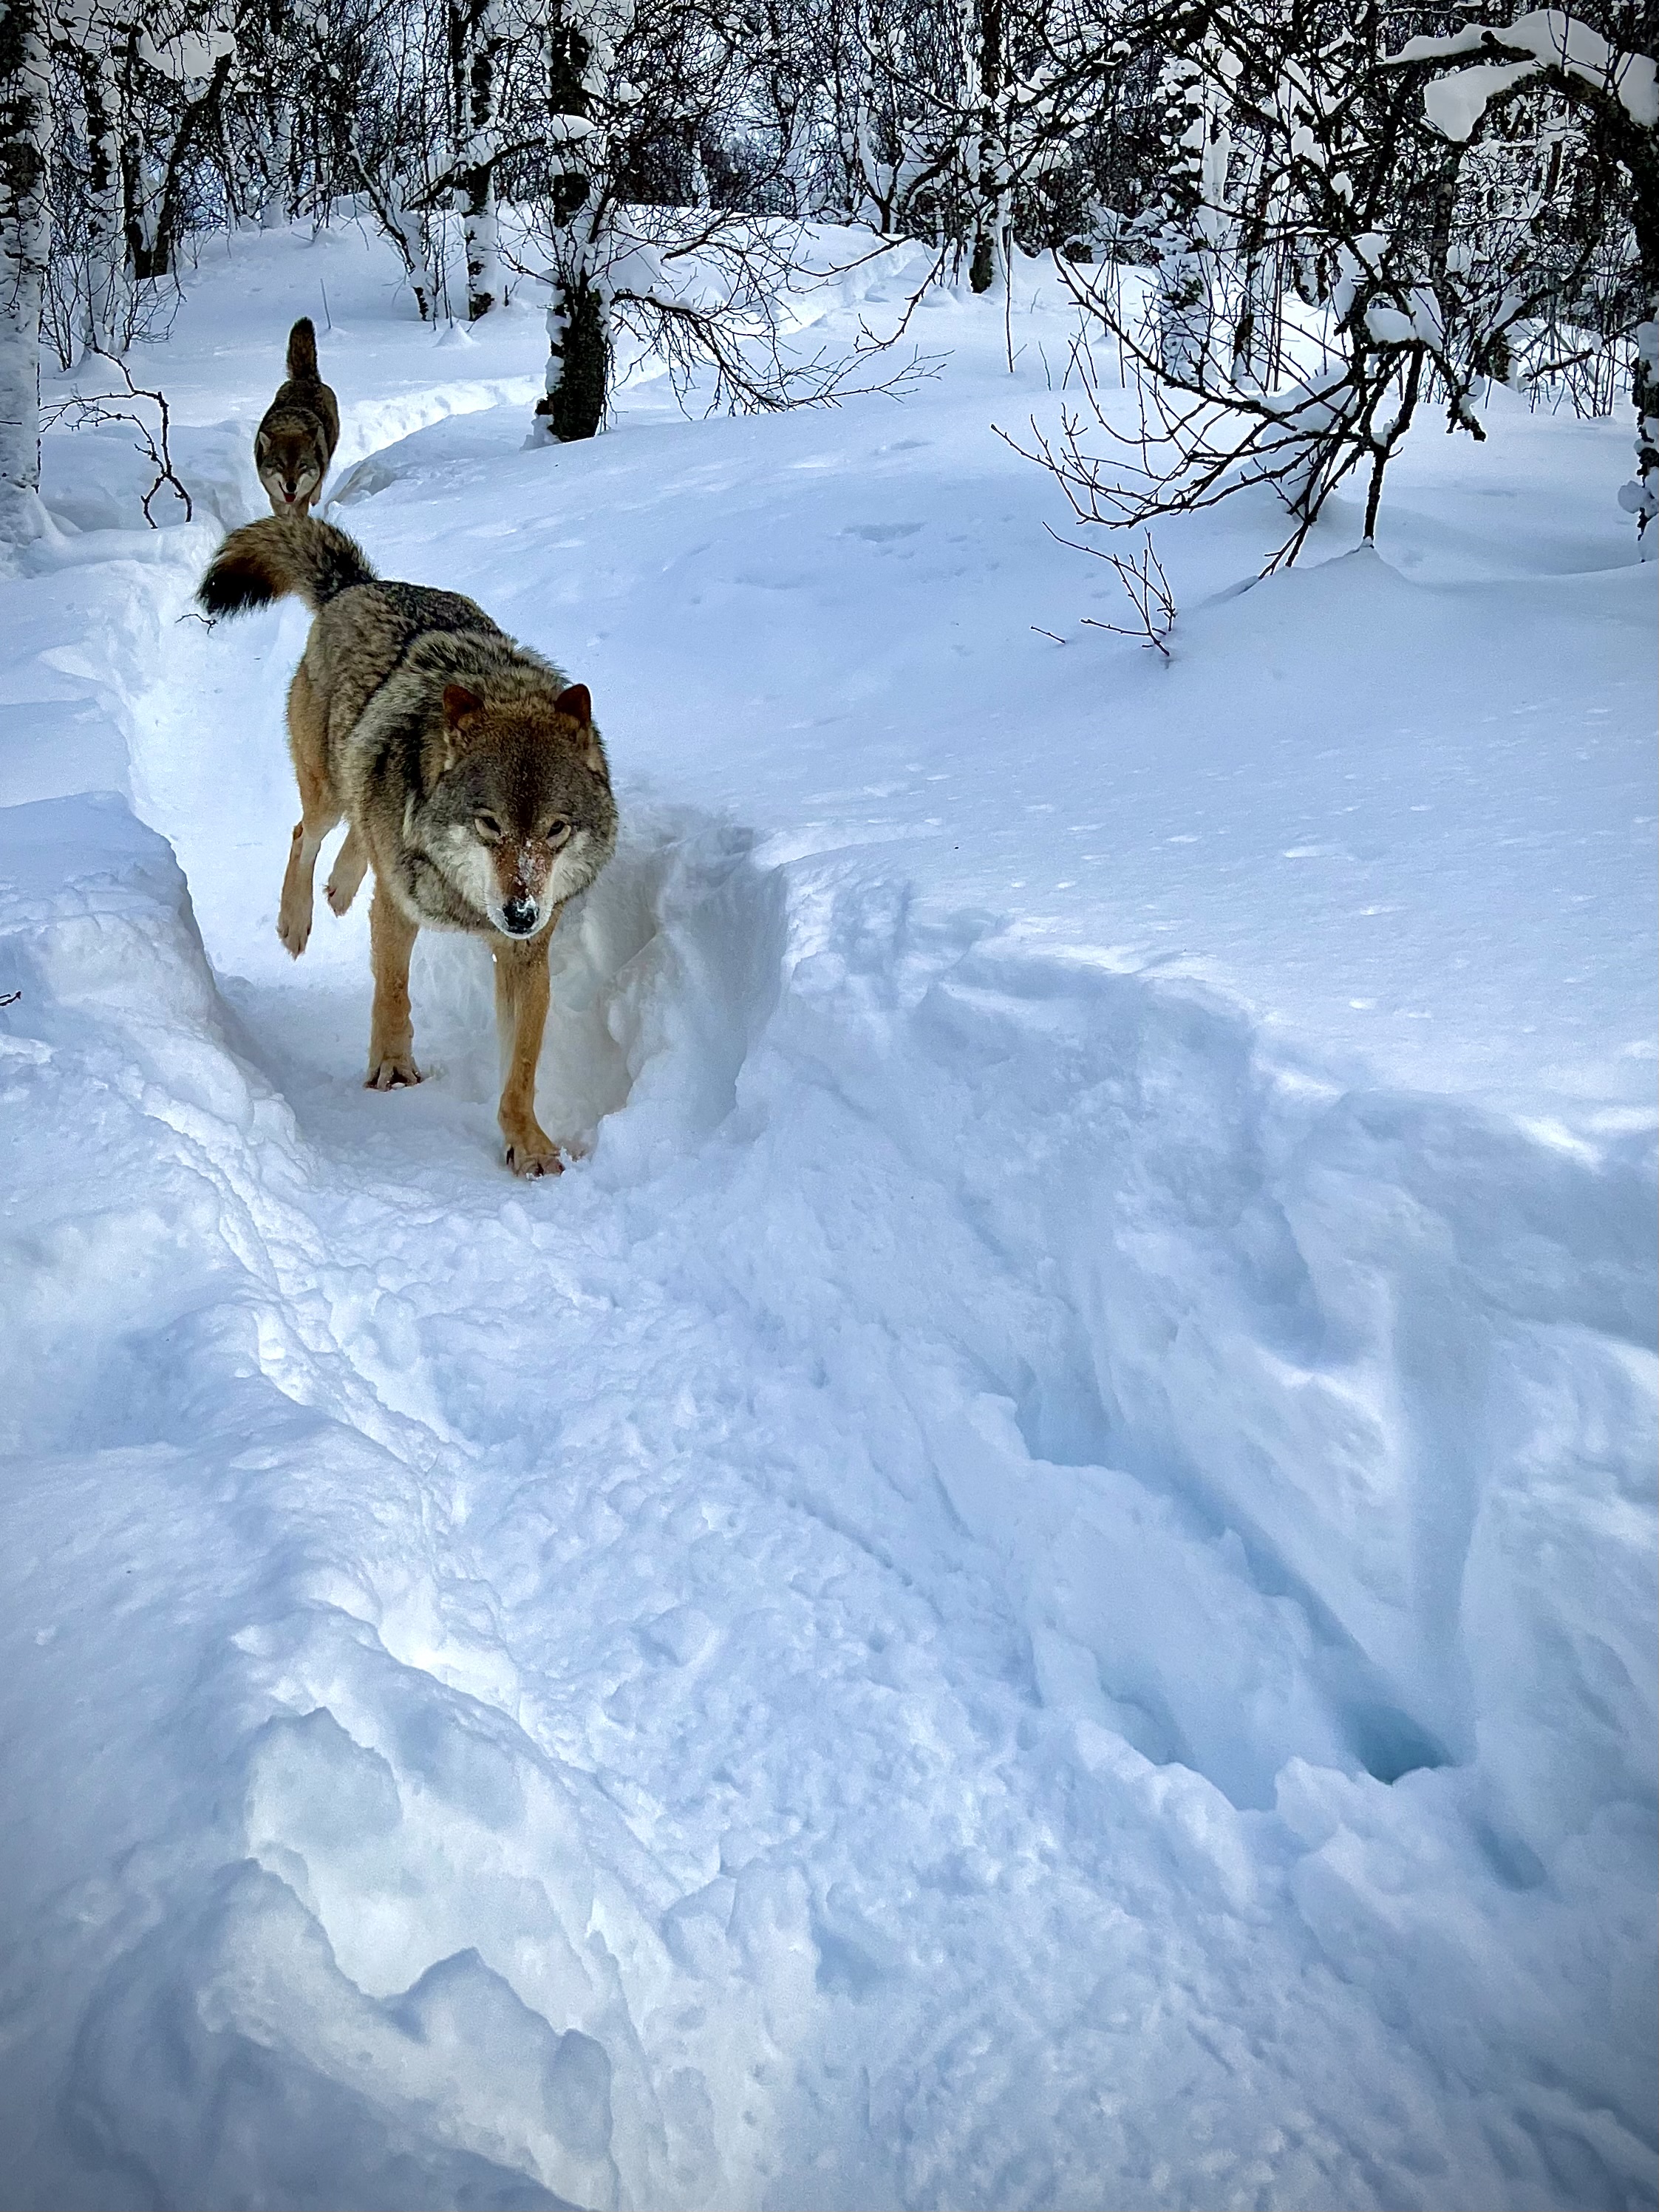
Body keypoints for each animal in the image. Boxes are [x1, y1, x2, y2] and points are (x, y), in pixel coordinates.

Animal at [194, 515, 619, 1177]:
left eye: (556, 830)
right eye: (489, 824)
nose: (522, 912)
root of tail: (358, 583)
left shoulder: (525, 956)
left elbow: (521, 1068)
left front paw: (528, 1145)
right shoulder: (399, 910)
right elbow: (392, 990)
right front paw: (393, 1069)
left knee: (356, 840)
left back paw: (340, 889)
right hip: (326, 791)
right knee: (305, 834)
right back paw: (297, 921)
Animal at [253, 318, 340, 515]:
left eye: (301, 465)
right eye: (281, 464)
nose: (291, 486)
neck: (291, 426)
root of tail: (305, 378)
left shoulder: (301, 501)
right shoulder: (276, 499)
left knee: (320, 484)